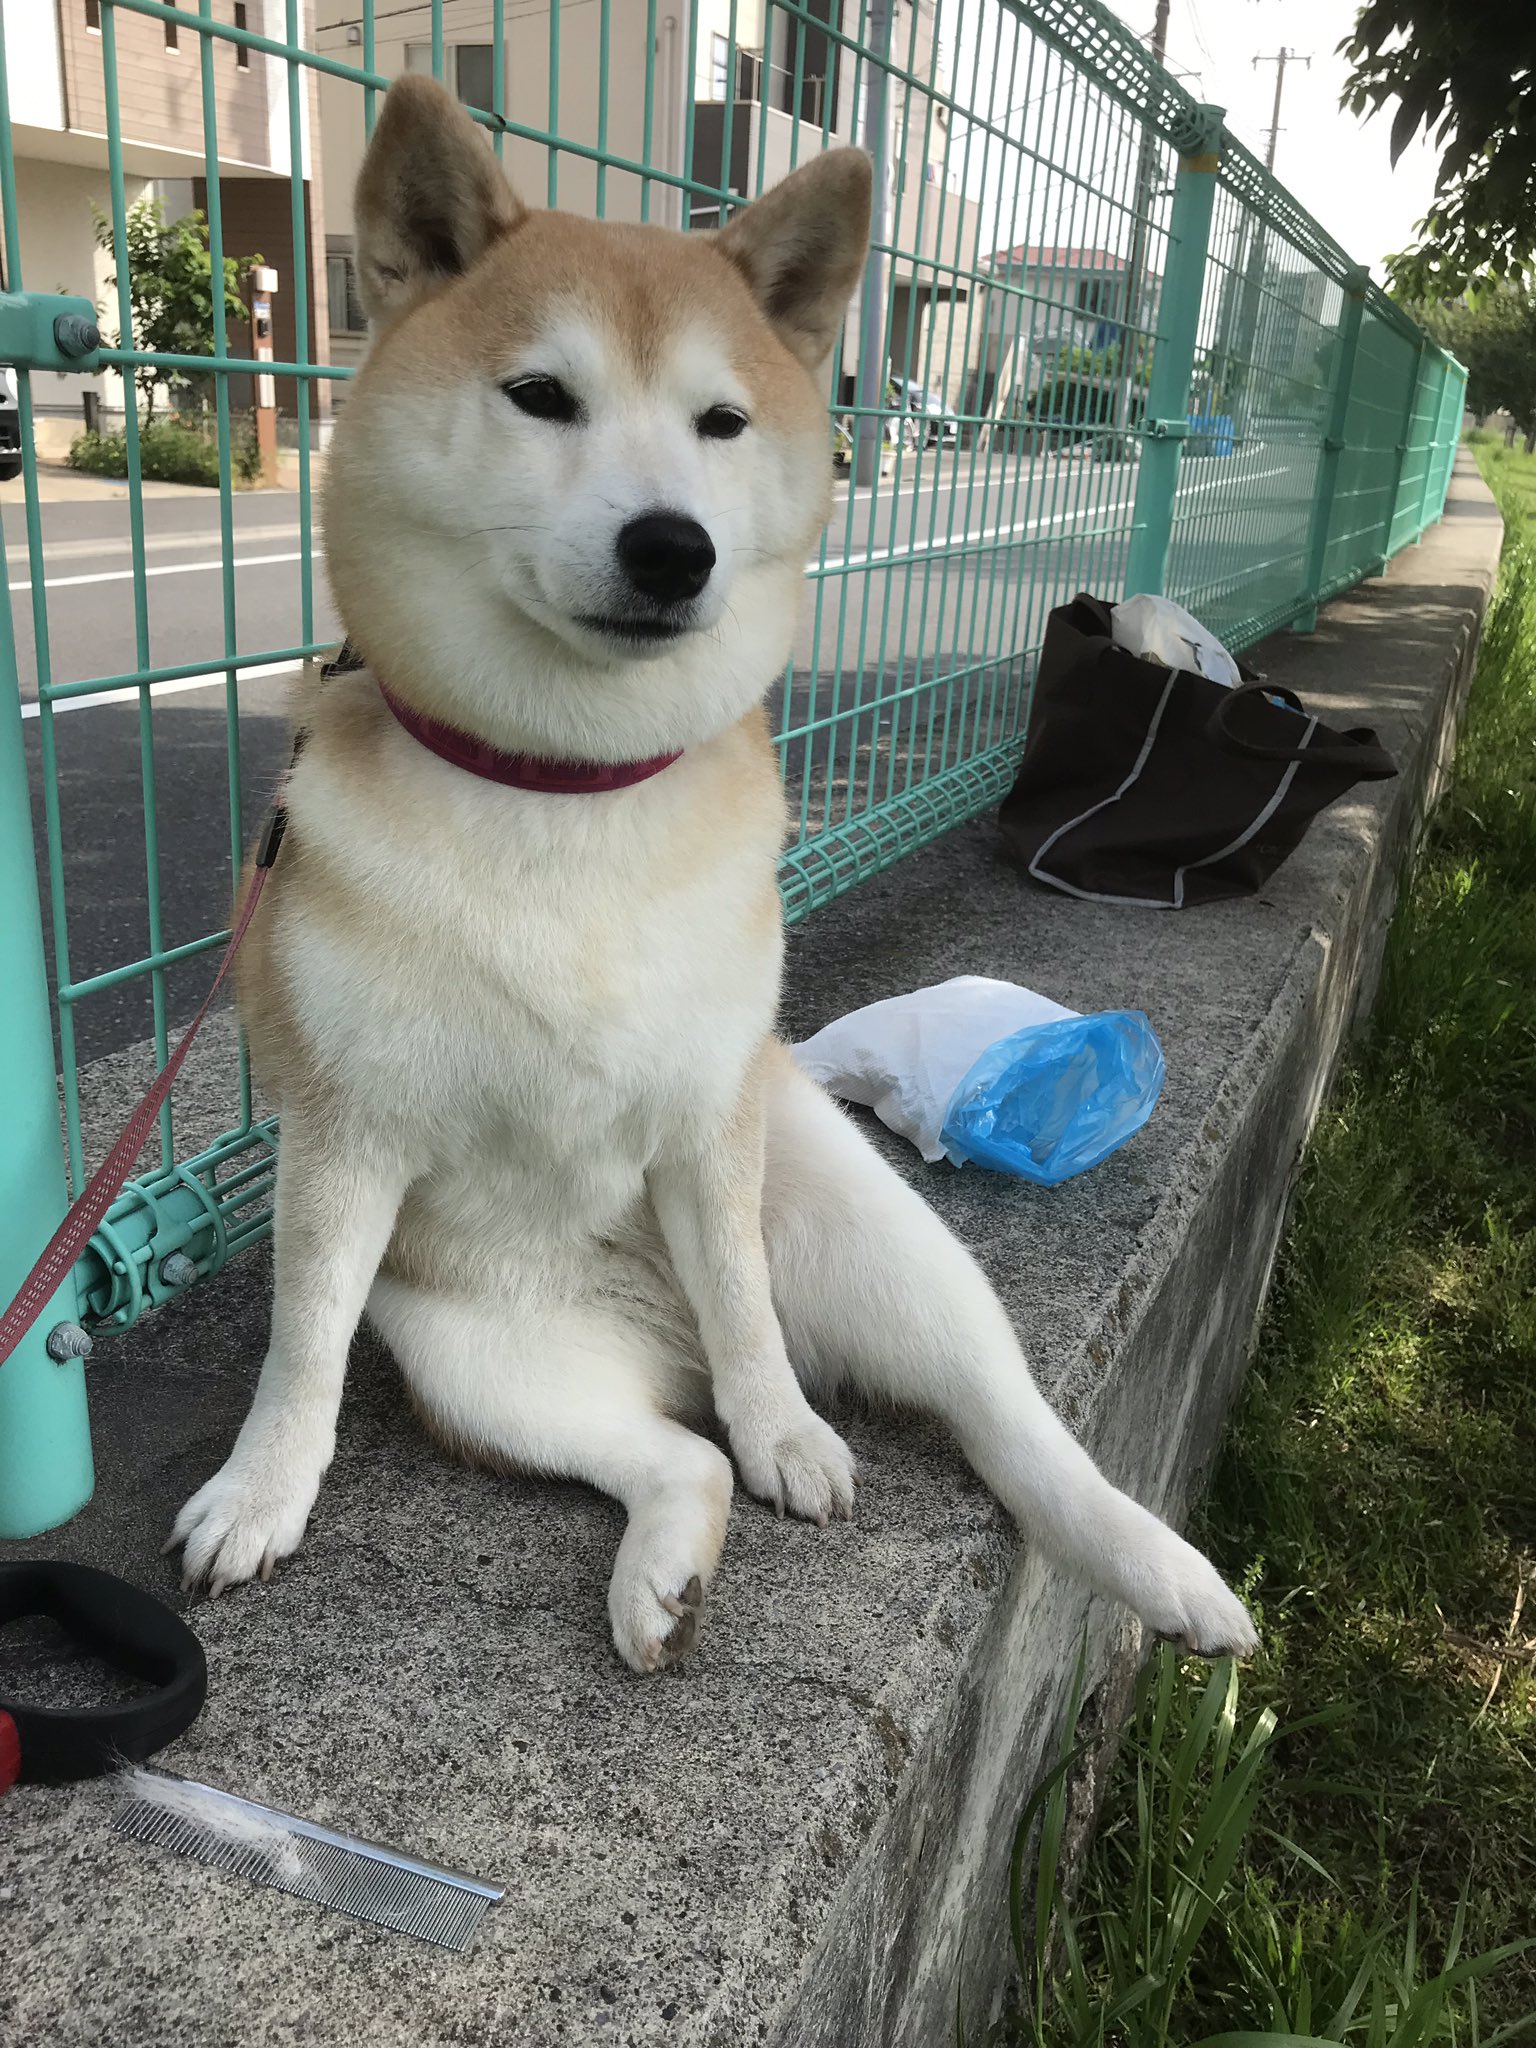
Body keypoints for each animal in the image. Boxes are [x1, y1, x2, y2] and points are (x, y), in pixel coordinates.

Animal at [167, 79, 1253, 1679]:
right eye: (540, 396)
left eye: (722, 422)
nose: (671, 545)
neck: (565, 788)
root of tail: (651, 1330)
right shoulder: (343, 1141)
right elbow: (302, 1346)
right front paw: (259, 1491)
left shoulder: (705, 1120)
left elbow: (748, 1313)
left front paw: (786, 1429)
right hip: (482, 1355)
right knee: (681, 1457)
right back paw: (665, 1578)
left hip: (860, 1230)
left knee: (989, 1411)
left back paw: (1149, 1562)